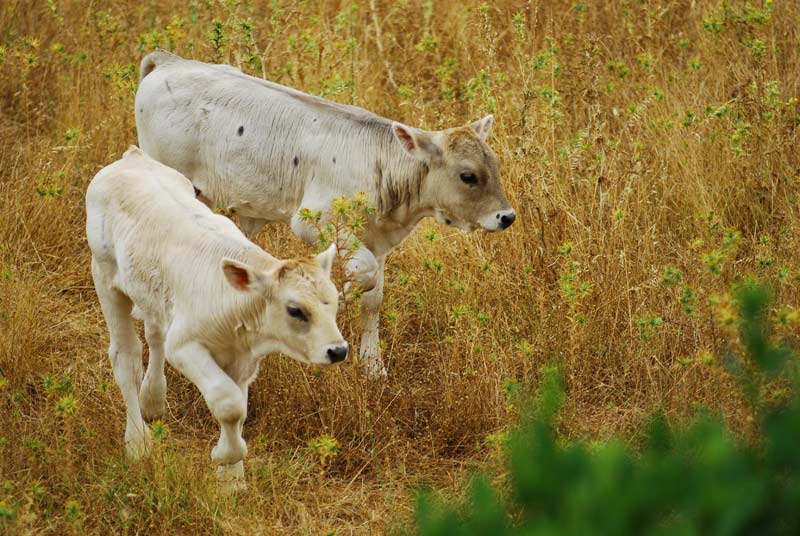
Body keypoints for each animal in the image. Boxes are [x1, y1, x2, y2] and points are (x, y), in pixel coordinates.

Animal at [86, 148, 346, 486]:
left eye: (335, 302)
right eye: (295, 310)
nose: (338, 350)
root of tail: (133, 157)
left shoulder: (242, 359)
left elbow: (239, 409)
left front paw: (232, 478)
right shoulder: (185, 346)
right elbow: (229, 402)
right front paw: (227, 459)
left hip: (153, 295)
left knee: (154, 336)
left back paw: (153, 399)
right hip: (104, 276)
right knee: (126, 358)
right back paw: (138, 442)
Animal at [134, 49, 516, 376]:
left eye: (495, 166)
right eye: (468, 176)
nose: (507, 216)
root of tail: (169, 61)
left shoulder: (377, 239)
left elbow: (374, 297)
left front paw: (373, 367)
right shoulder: (313, 221)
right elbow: (364, 273)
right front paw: (338, 298)